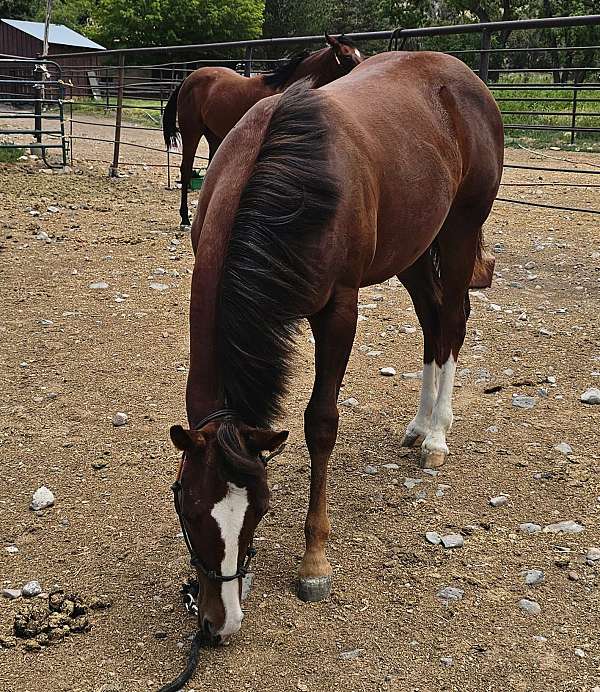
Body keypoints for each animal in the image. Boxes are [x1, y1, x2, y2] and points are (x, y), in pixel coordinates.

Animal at [162, 34, 363, 227]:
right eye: (346, 56)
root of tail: (188, 78)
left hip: (214, 136)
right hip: (191, 133)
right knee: (186, 169)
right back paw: (184, 219)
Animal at [168, 51, 503, 647]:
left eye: (259, 510)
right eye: (187, 506)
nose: (218, 623)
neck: (281, 176)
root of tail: (463, 78)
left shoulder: (338, 311)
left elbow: (321, 423)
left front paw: (314, 561)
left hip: (461, 229)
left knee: (453, 322)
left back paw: (436, 436)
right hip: (412, 247)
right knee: (432, 322)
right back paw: (419, 425)